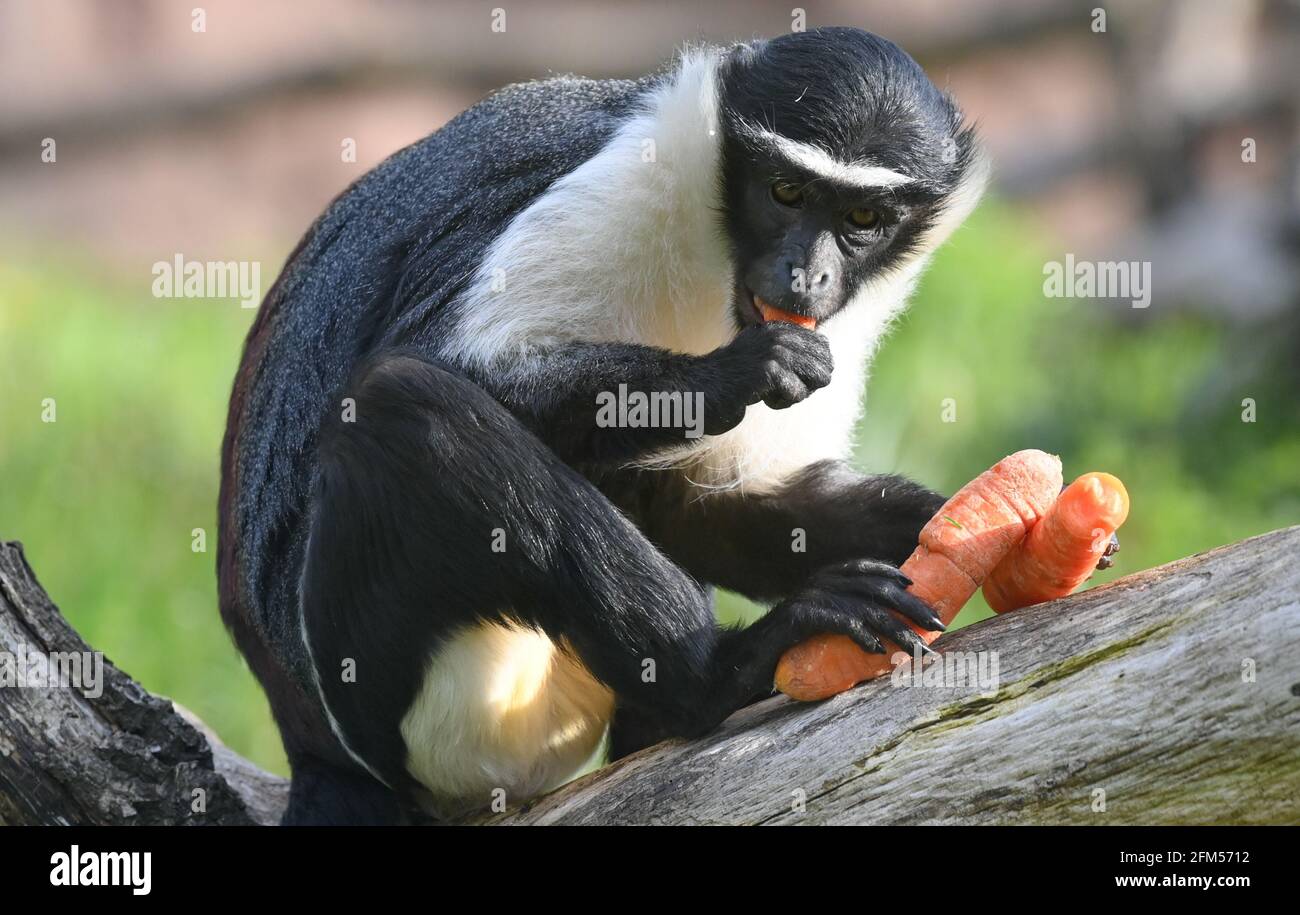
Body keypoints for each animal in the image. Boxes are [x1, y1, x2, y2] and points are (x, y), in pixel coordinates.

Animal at [220, 28, 993, 826]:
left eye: (863, 221)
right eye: (786, 193)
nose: (807, 275)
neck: (712, 246)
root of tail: (313, 749)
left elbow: (704, 503)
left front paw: (954, 518)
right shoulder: (617, 180)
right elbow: (432, 360)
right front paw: (736, 374)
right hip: (419, 707)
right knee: (397, 403)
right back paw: (722, 673)